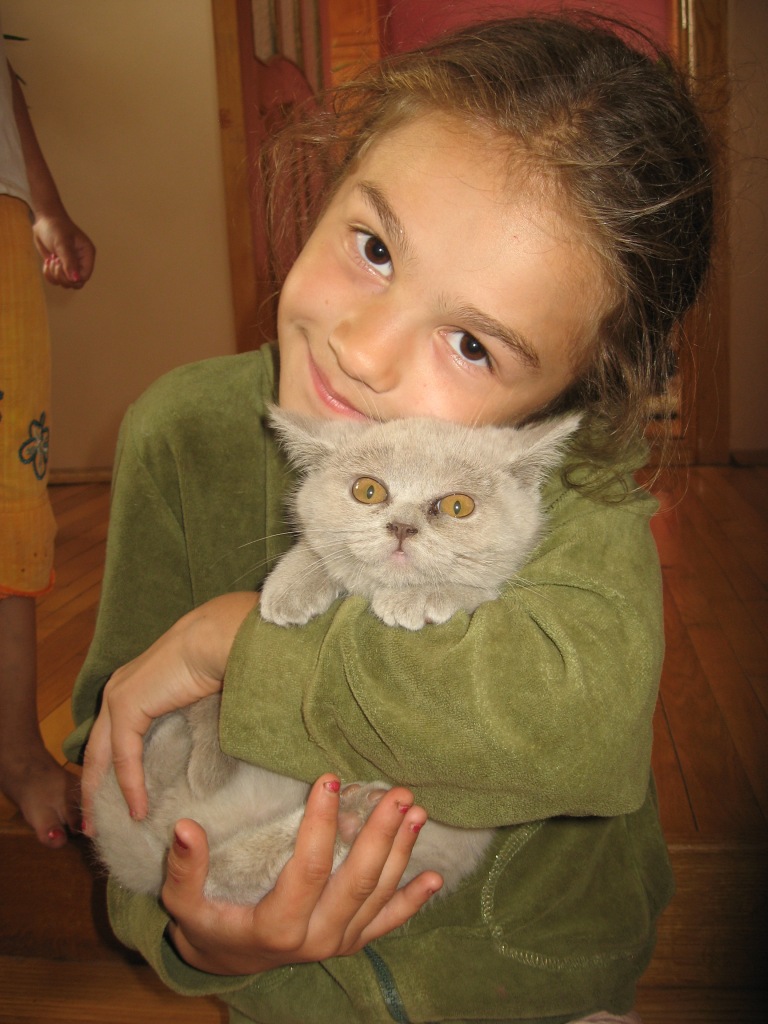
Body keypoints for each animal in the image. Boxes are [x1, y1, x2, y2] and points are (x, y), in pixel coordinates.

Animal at [92, 408, 580, 904]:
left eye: (458, 506)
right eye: (369, 491)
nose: (402, 526)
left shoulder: (499, 594)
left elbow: (476, 588)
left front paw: (417, 597)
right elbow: (321, 548)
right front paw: (291, 586)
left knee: (221, 876)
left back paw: (347, 816)